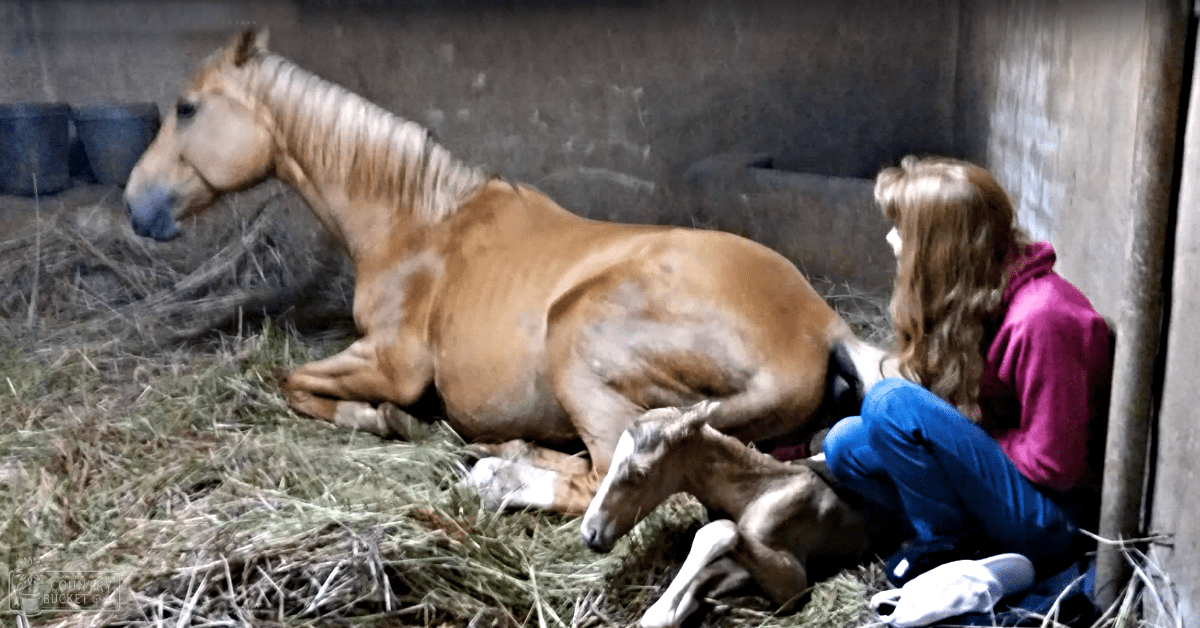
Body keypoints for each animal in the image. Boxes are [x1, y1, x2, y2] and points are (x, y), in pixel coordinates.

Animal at [124, 29, 893, 516]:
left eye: (186, 108)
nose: (136, 206)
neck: (418, 225)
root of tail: (818, 323)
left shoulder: (391, 362)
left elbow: (296, 383)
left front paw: (385, 420)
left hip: (576, 338)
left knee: (599, 476)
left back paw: (497, 477)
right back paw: (504, 450)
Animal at [580, 401, 877, 628]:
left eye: (638, 473)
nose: (589, 533)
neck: (763, 491)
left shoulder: (794, 585)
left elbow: (719, 531)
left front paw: (657, 614)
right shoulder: (740, 566)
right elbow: (704, 578)